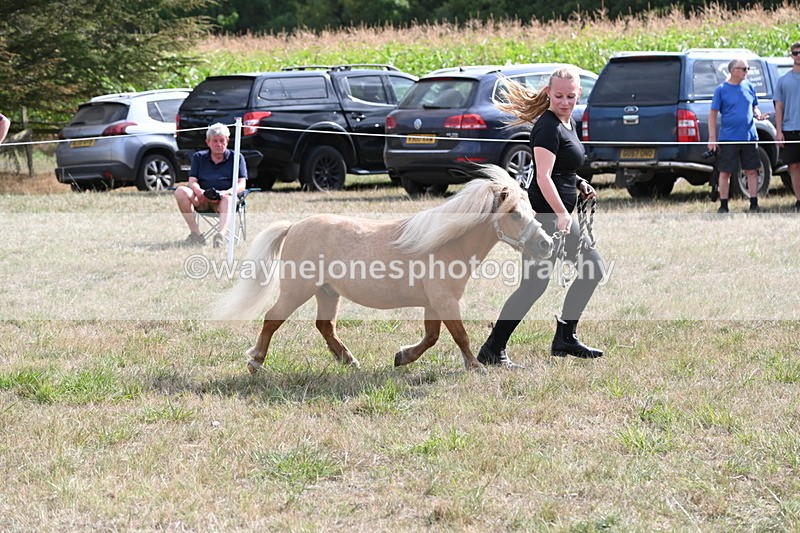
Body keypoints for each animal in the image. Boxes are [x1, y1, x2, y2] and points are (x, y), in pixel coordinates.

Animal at [216, 165, 554, 373]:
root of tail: (294, 226)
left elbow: (432, 336)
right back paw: (256, 362)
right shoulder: (445, 301)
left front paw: (402, 357)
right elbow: (460, 335)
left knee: (325, 326)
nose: (546, 244)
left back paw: (349, 360)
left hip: (327, 292)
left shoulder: (434, 303)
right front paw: (475, 366)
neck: (448, 243)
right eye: (514, 213)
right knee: (272, 318)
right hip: (298, 290)